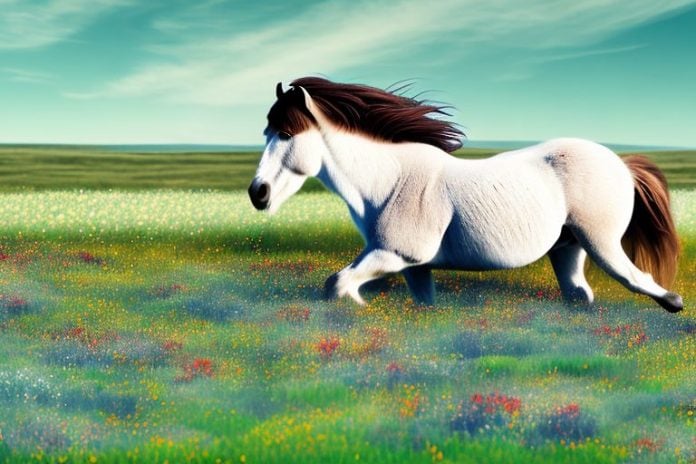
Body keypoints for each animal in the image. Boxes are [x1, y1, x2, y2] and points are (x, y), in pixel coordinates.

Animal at [248, 77, 683, 313]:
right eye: (266, 132)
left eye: (285, 133)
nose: (258, 194)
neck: (388, 181)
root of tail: (621, 164)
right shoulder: (408, 264)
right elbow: (415, 299)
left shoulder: (396, 255)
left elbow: (336, 285)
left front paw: (360, 307)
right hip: (568, 248)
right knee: (579, 295)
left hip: (602, 242)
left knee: (636, 279)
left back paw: (674, 303)